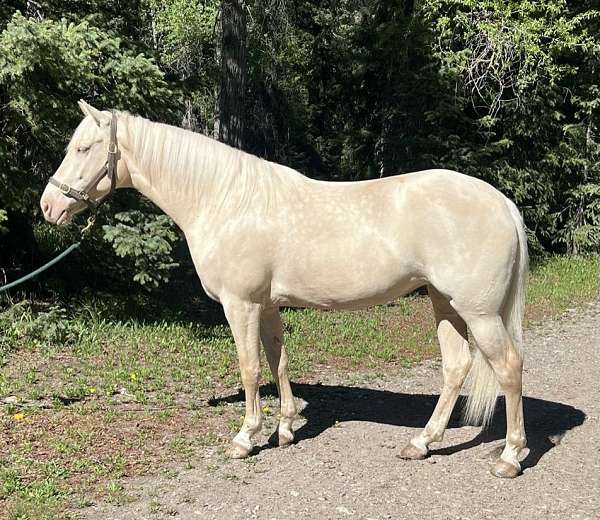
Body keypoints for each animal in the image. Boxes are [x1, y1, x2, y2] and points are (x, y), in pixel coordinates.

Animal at [41, 101, 528, 480]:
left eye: (83, 148)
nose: (48, 206)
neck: (224, 201)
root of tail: (502, 202)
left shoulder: (241, 305)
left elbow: (251, 368)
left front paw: (246, 437)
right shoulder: (268, 305)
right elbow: (279, 361)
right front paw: (287, 428)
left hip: (479, 313)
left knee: (508, 367)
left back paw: (509, 457)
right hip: (445, 303)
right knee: (456, 367)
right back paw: (422, 443)